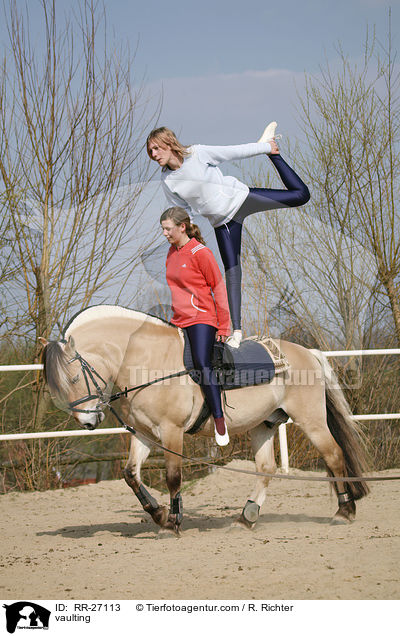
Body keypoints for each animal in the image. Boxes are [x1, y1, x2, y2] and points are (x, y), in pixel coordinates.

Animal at [39, 306, 368, 536]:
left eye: (72, 378)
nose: (87, 421)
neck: (147, 360)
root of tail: (307, 353)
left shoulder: (171, 432)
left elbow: (173, 477)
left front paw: (172, 522)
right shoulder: (144, 434)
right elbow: (130, 474)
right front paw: (159, 515)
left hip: (311, 420)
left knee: (334, 455)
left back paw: (344, 512)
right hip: (264, 425)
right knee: (266, 469)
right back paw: (245, 519)